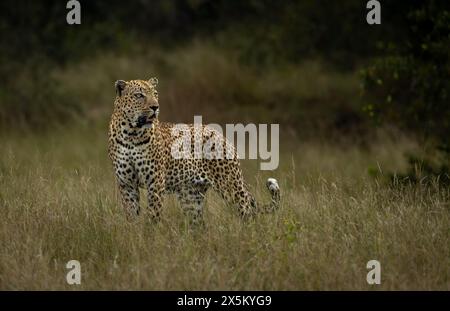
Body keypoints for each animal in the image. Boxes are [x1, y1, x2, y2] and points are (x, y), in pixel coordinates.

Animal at [107, 77, 280, 224]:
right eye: (139, 95)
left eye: (155, 94)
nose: (155, 107)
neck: (131, 134)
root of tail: (221, 134)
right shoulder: (126, 184)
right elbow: (131, 214)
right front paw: (135, 234)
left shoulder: (155, 181)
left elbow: (153, 214)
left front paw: (150, 235)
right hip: (190, 197)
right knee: (199, 224)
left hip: (230, 185)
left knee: (248, 212)